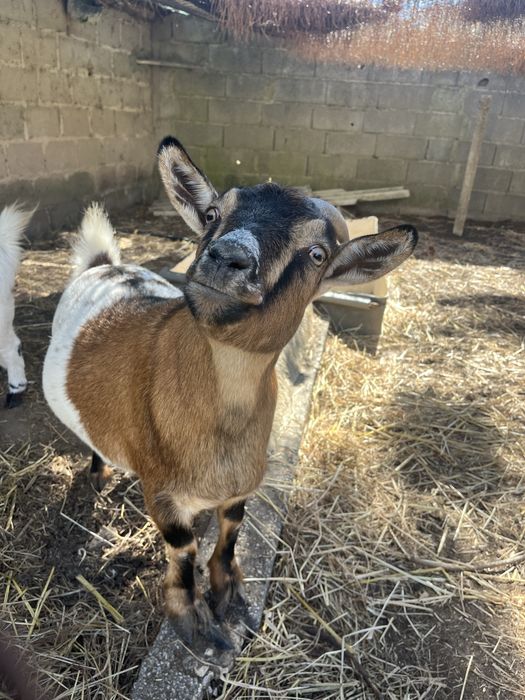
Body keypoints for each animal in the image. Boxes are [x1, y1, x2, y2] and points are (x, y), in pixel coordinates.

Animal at [43, 137, 418, 646]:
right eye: (212, 214)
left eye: (318, 254)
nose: (228, 256)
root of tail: (104, 266)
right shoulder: (162, 493)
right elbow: (183, 550)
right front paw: (193, 621)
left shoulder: (244, 486)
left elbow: (230, 533)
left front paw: (230, 596)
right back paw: (98, 475)